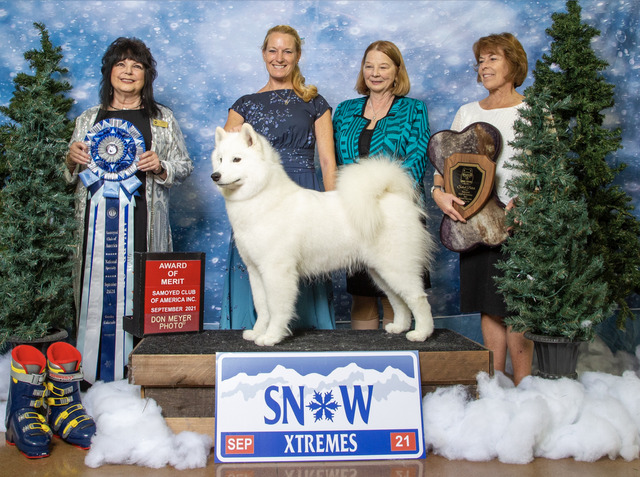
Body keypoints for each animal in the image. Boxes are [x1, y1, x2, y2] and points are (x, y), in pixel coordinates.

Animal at [212, 123, 438, 346]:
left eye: (237, 159)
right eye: (220, 159)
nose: (215, 176)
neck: (261, 199)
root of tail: (392, 195)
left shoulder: (277, 270)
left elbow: (276, 308)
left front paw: (271, 337)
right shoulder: (256, 271)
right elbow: (262, 307)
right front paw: (258, 332)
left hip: (396, 267)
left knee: (418, 299)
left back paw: (422, 333)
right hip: (380, 271)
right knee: (397, 299)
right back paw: (399, 327)